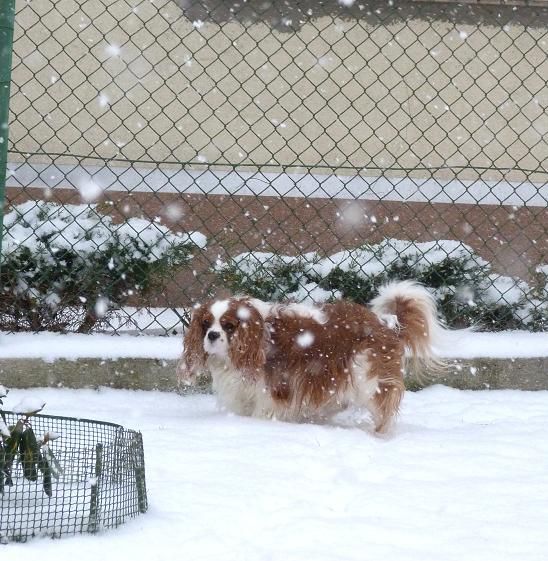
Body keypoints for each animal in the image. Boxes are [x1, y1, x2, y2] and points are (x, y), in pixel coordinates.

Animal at [180, 280, 446, 434]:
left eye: (229, 326)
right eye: (206, 324)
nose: (212, 335)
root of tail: (386, 324)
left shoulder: (269, 393)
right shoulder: (241, 392)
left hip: (367, 379)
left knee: (383, 411)